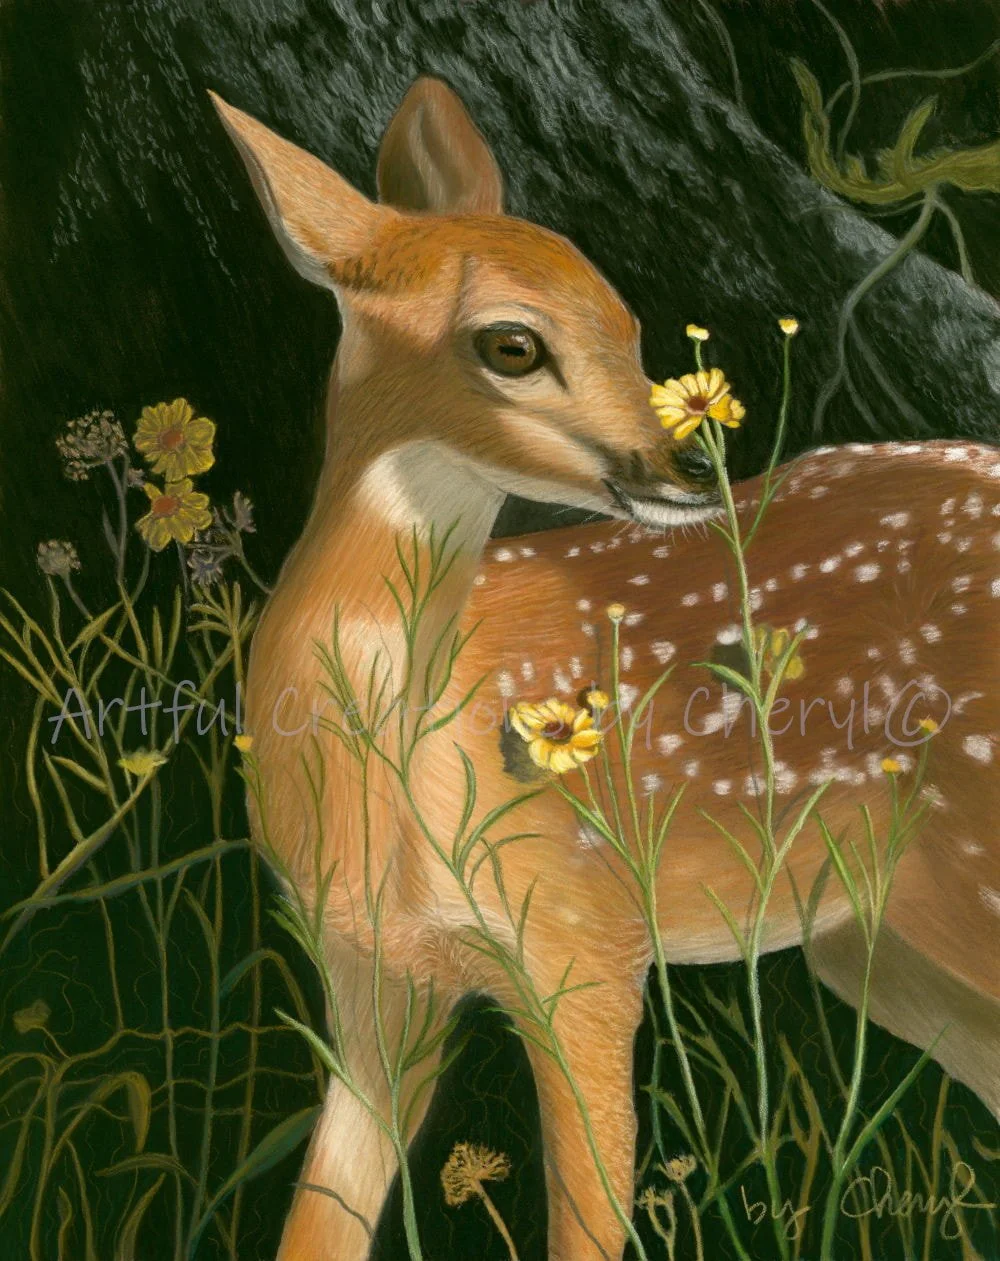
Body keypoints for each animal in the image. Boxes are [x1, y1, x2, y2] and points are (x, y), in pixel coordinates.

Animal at [209, 77, 1000, 1261]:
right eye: (512, 344)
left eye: (626, 323)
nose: (690, 460)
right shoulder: (369, 981)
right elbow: (321, 1221)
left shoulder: (586, 950)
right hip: (889, 948)